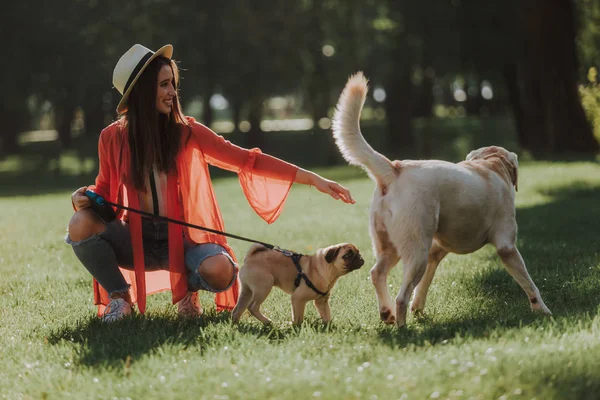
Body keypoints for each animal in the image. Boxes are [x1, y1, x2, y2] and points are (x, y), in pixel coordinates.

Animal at [231, 244, 364, 324]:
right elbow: (298, 317)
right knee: (252, 307)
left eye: (357, 252)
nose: (359, 257)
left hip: (247, 291)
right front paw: (296, 327)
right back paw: (267, 321)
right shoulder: (298, 299)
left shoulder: (321, 302)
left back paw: (236, 325)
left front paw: (328, 327)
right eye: (347, 255)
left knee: (238, 309)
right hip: (264, 286)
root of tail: (251, 257)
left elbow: (326, 315)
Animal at [330, 71, 552, 328]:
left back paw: (387, 314)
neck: (491, 164)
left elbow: (424, 287)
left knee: (377, 274)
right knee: (401, 296)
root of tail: (395, 168)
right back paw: (403, 327)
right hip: (416, 252)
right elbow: (530, 284)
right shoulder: (506, 247)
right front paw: (544, 311)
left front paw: (419, 308)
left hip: (392, 248)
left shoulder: (436, 251)